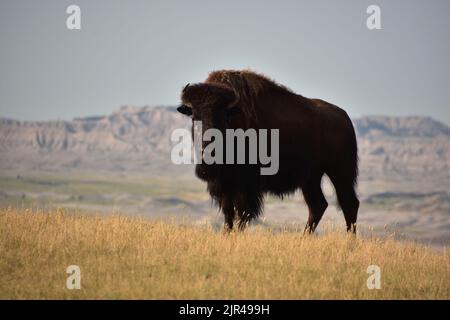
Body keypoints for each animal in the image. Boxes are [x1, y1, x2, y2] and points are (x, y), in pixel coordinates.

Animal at [178, 70, 360, 234]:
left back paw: (349, 241)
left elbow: (242, 215)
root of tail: (344, 117)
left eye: (222, 118)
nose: (206, 164)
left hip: (340, 173)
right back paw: (304, 238)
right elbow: (228, 215)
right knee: (318, 205)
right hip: (311, 179)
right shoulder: (224, 186)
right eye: (194, 117)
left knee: (349, 203)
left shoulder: (245, 186)